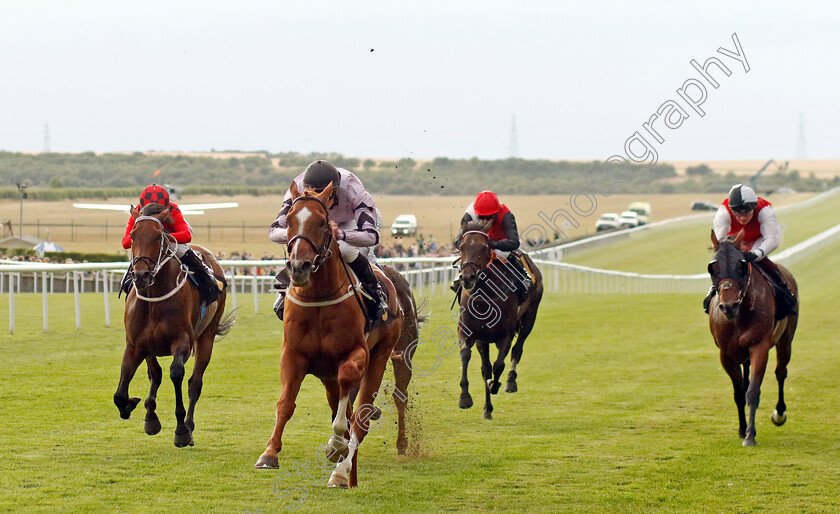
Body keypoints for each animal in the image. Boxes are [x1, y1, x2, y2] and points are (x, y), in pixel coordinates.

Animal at [113, 202, 235, 446]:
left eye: (158, 236)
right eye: (132, 235)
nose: (141, 275)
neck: (154, 301)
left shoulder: (183, 343)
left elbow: (176, 373)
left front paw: (181, 430)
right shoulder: (136, 345)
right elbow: (123, 391)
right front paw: (140, 410)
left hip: (206, 336)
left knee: (195, 383)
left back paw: (189, 426)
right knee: (157, 374)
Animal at [253, 182, 416, 486]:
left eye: (321, 221)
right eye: (289, 220)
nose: (299, 267)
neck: (319, 298)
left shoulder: (355, 354)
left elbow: (348, 398)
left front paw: (337, 444)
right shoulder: (293, 355)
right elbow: (286, 403)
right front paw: (269, 453)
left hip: (382, 354)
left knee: (362, 412)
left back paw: (342, 471)